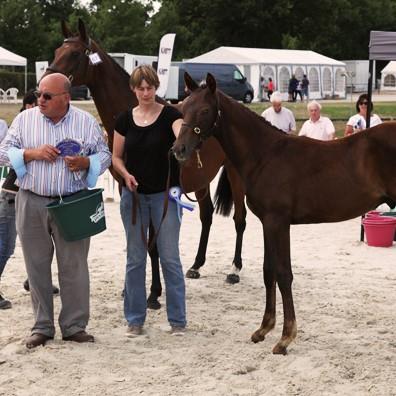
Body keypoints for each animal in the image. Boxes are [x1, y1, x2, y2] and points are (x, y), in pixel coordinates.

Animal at [46, 19, 248, 288]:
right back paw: (196, 266)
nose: (44, 87)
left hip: (236, 177)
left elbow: (153, 243)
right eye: (57, 51)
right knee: (206, 216)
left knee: (240, 219)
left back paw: (235, 269)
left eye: (75, 54)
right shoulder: (126, 186)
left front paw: (155, 290)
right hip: (201, 180)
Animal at [172, 72, 396, 356]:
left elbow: (283, 274)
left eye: (204, 110)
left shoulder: (278, 222)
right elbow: (269, 271)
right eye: (183, 108)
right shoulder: (267, 222)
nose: (179, 150)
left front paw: (285, 337)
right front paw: (264, 329)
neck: (265, 155)